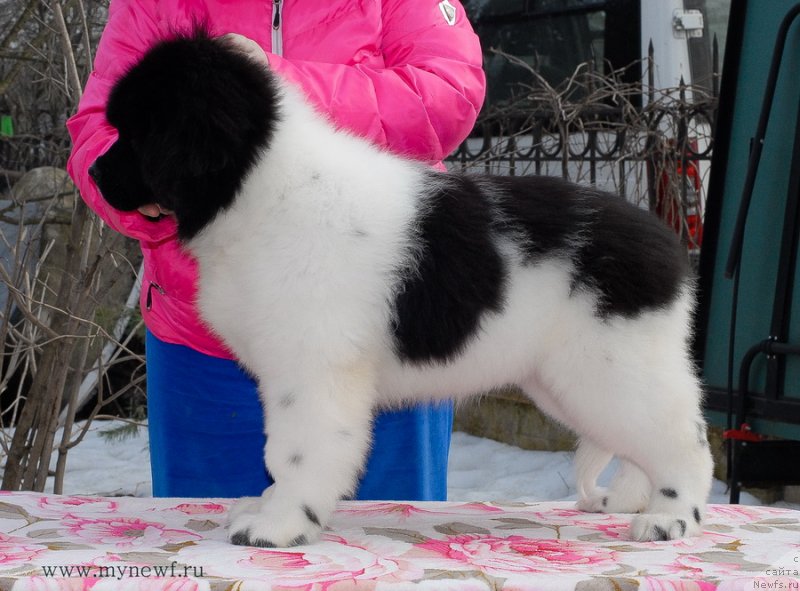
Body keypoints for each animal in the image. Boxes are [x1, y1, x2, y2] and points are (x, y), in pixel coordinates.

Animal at [92, 32, 712, 548]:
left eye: (137, 133)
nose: (94, 174)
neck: (264, 190)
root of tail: (667, 245)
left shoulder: (313, 369)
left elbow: (293, 450)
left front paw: (281, 524)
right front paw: (267, 506)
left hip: (612, 368)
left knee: (686, 440)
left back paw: (668, 517)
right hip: (570, 381)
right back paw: (635, 500)